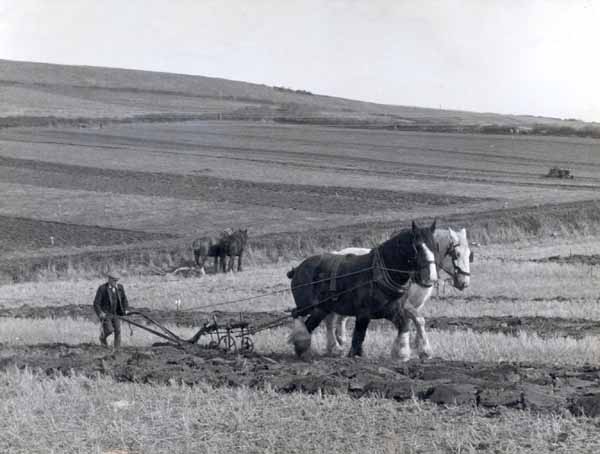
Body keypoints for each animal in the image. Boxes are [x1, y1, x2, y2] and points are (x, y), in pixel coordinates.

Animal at [286, 222, 436, 360]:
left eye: (434, 246)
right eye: (418, 247)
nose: (431, 277)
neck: (378, 273)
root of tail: (298, 268)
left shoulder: (392, 309)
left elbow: (405, 324)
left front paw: (402, 353)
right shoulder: (364, 312)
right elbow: (359, 335)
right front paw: (355, 355)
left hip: (321, 308)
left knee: (312, 323)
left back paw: (306, 349)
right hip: (307, 306)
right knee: (297, 315)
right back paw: (304, 343)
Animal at [328, 227, 474, 362]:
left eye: (469, 255)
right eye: (456, 254)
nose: (465, 282)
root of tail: (337, 253)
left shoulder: (415, 304)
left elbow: (411, 321)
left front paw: (407, 347)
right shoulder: (405, 304)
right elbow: (419, 320)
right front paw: (423, 351)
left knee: (341, 319)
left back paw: (342, 342)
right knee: (332, 319)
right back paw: (336, 346)